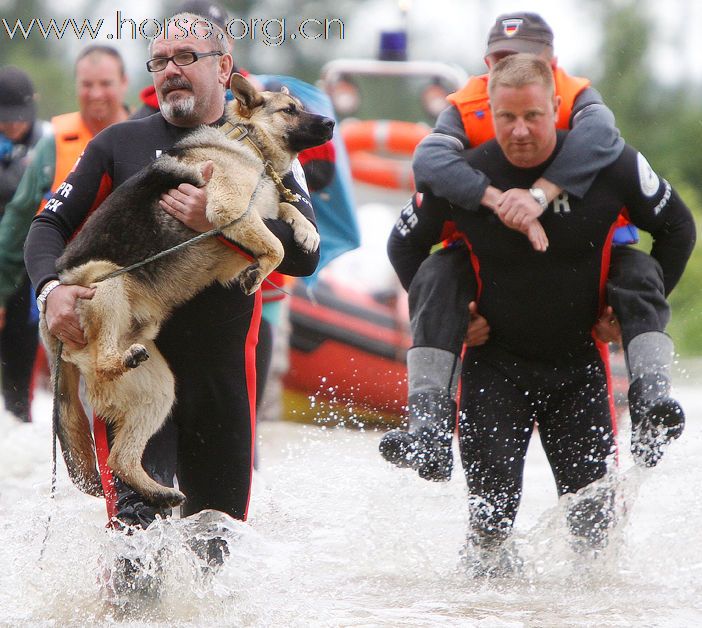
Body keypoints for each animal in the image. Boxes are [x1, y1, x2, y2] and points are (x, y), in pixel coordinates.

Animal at [43, 73, 336, 510]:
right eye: (289, 110)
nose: (332, 123)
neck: (246, 141)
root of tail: (51, 333)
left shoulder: (250, 218)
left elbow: (286, 215)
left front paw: (307, 231)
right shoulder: (230, 213)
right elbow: (276, 246)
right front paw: (258, 272)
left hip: (161, 390)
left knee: (121, 459)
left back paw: (158, 491)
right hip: (108, 280)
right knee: (104, 365)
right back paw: (118, 359)